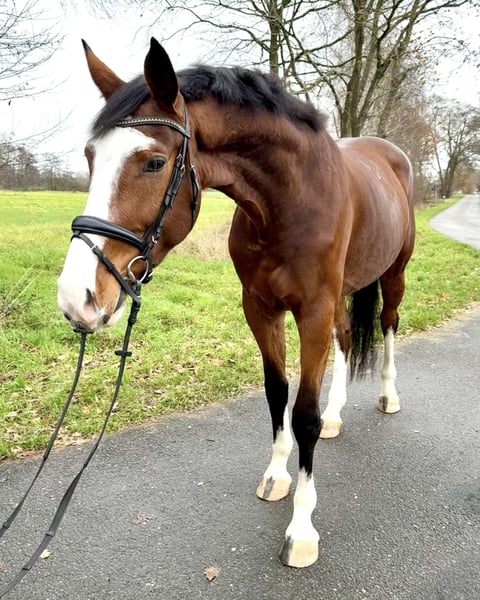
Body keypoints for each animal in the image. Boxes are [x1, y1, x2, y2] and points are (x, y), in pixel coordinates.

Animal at [57, 38, 415, 568]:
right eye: (90, 157)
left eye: (153, 162)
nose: (75, 297)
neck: (288, 203)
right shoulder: (260, 308)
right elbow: (277, 394)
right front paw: (277, 476)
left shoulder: (311, 311)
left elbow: (302, 415)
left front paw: (301, 529)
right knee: (347, 337)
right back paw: (336, 415)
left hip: (393, 274)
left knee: (388, 324)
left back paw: (389, 396)